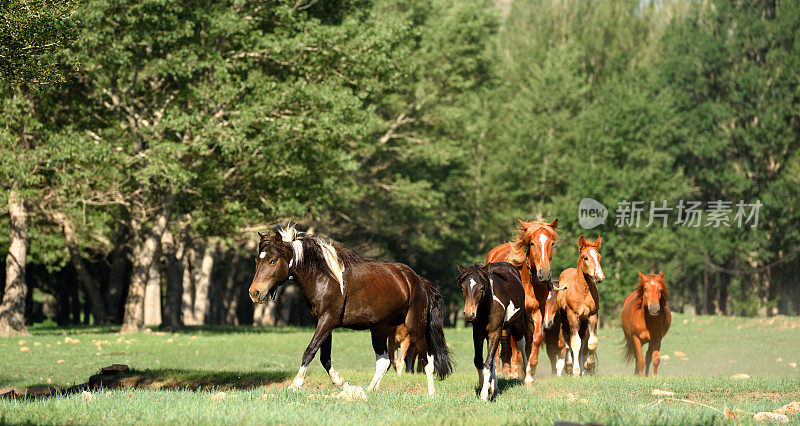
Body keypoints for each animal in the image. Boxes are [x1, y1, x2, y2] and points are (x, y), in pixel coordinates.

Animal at [248, 225, 450, 394]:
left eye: (273, 260)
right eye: (258, 259)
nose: (254, 292)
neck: (324, 277)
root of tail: (418, 280)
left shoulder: (327, 321)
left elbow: (310, 351)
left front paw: (295, 384)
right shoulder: (323, 322)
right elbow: (324, 357)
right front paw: (343, 384)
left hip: (415, 328)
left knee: (428, 360)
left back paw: (431, 393)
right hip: (379, 328)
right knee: (384, 361)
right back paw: (370, 390)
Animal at [456, 262, 532, 402]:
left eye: (481, 287)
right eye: (463, 287)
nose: (469, 314)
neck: (487, 308)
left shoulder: (495, 332)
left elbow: (487, 363)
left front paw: (484, 394)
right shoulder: (478, 334)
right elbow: (479, 361)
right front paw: (487, 386)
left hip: (518, 323)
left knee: (522, 344)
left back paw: (528, 379)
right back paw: (494, 384)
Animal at [484, 218, 560, 378]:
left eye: (552, 244)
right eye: (532, 243)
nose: (544, 274)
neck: (526, 281)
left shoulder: (538, 310)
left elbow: (536, 337)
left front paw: (531, 366)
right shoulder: (516, 314)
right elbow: (515, 343)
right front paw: (515, 370)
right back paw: (500, 369)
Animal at [556, 236, 608, 376]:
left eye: (599, 256)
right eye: (585, 257)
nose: (599, 276)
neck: (582, 292)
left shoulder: (592, 316)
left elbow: (591, 343)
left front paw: (586, 366)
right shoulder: (573, 316)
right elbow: (575, 343)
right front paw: (574, 370)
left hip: (583, 323)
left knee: (583, 340)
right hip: (565, 321)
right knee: (567, 341)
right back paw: (570, 365)